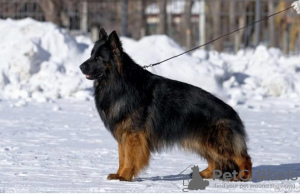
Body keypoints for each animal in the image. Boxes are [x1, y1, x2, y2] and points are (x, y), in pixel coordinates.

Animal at [78, 28, 252, 182]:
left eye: (99, 58)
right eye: (91, 55)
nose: (80, 66)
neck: (119, 83)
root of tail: (234, 114)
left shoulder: (133, 136)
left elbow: (129, 158)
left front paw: (125, 175)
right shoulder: (123, 136)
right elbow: (122, 158)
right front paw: (119, 174)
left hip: (217, 142)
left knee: (243, 157)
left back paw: (243, 176)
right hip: (201, 141)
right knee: (216, 161)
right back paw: (205, 174)